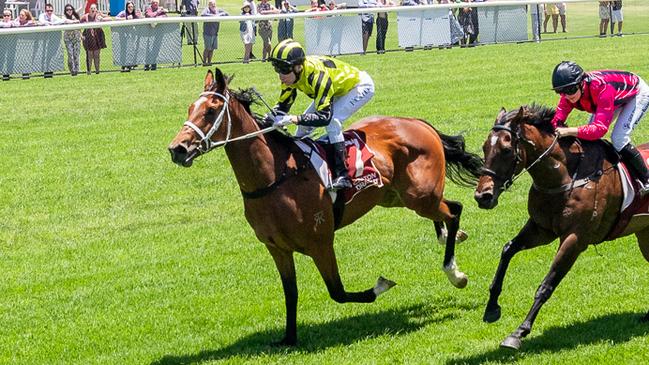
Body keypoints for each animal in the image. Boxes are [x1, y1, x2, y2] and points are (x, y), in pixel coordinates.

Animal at [167, 68, 480, 344]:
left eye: (210, 111)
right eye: (189, 108)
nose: (177, 149)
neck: (274, 177)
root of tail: (416, 122)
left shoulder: (320, 242)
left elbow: (337, 292)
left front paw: (381, 285)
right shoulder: (276, 248)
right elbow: (290, 293)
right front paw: (288, 338)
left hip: (419, 197)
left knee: (454, 210)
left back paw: (455, 273)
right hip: (398, 197)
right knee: (447, 209)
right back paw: (449, 238)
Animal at [470, 104, 648, 348]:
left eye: (506, 149)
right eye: (485, 146)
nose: (483, 196)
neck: (564, 176)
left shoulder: (575, 238)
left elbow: (547, 284)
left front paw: (518, 332)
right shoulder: (541, 229)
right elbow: (507, 250)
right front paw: (491, 308)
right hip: (645, 234)